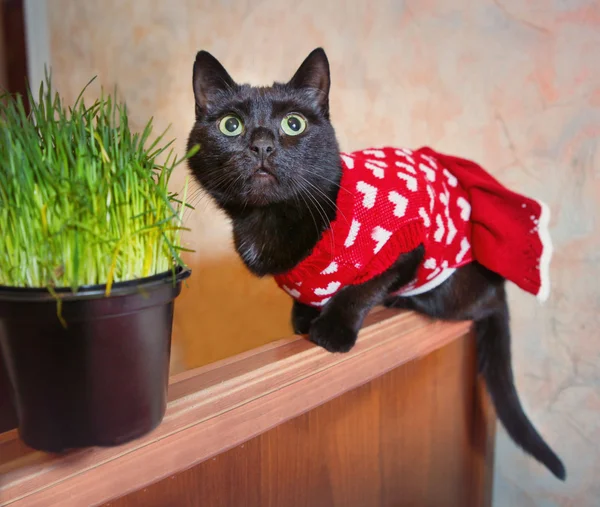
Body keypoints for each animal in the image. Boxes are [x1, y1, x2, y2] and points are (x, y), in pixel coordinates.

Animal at [189, 47, 568, 480]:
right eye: (230, 125)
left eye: (293, 124)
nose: (263, 146)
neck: (269, 219)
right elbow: (310, 296)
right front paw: (303, 317)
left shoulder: (404, 242)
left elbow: (362, 288)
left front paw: (331, 331)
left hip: (450, 291)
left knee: (481, 307)